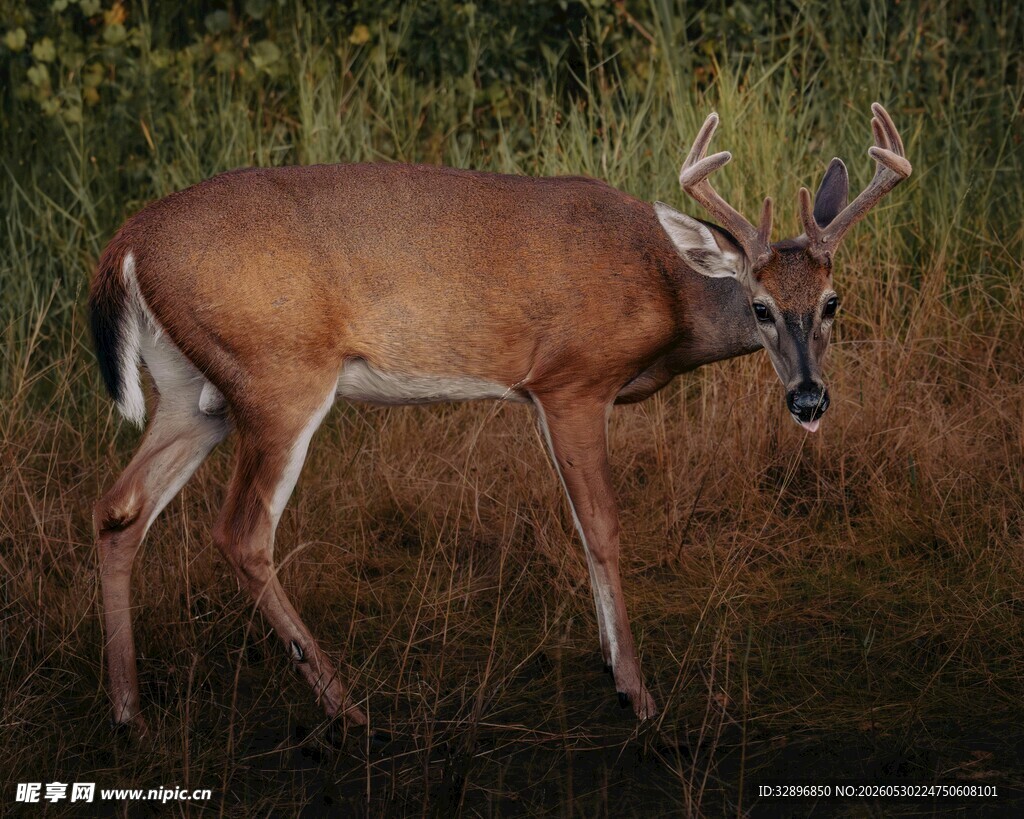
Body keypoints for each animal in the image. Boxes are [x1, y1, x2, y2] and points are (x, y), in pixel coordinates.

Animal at [90, 103, 910, 736]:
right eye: (761, 306)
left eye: (832, 301)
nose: (809, 400)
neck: (666, 293)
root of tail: (124, 247)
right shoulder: (572, 379)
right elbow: (603, 525)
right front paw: (638, 693)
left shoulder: (544, 397)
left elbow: (579, 526)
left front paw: (613, 666)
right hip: (279, 378)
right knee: (240, 532)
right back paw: (348, 707)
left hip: (192, 392)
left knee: (119, 507)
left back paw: (129, 710)